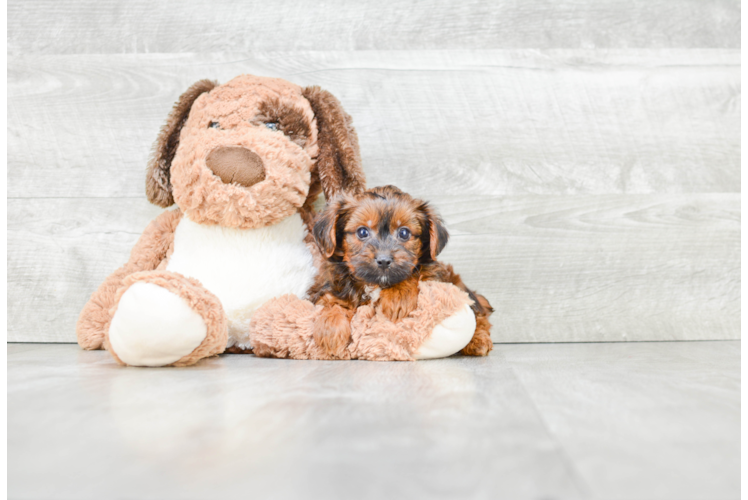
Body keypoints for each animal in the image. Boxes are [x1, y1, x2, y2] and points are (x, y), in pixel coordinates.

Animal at [306, 186, 494, 358]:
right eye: (362, 232)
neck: (374, 285)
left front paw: (397, 295)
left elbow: (416, 273)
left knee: (479, 315)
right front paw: (330, 327)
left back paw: (478, 340)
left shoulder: (433, 274)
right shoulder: (328, 286)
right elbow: (331, 301)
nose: (383, 260)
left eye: (404, 233)